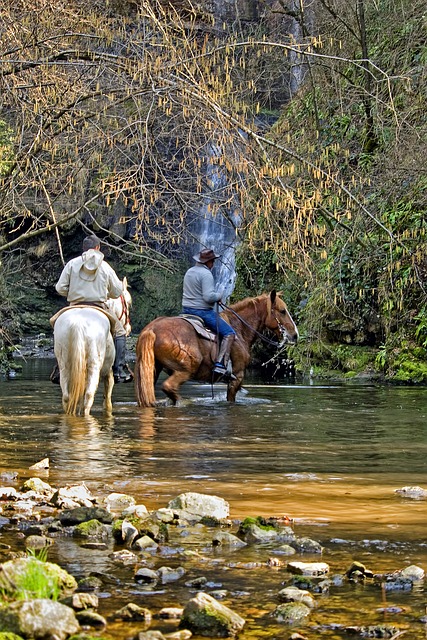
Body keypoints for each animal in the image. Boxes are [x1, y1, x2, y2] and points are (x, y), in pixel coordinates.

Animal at [135, 290, 300, 404]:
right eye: (282, 311)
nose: (295, 335)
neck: (239, 328)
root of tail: (152, 329)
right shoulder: (237, 377)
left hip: (152, 371)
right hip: (185, 370)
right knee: (169, 387)